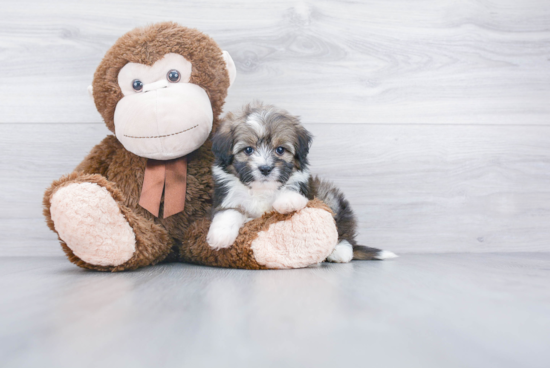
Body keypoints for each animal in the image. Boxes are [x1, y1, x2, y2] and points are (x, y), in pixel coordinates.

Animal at [207, 101, 396, 262]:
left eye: (280, 150)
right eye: (248, 150)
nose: (266, 168)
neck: (262, 189)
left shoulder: (304, 186)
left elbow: (292, 193)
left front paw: (287, 201)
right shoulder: (227, 197)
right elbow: (229, 212)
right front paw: (220, 235)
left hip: (329, 196)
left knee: (342, 230)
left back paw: (340, 251)